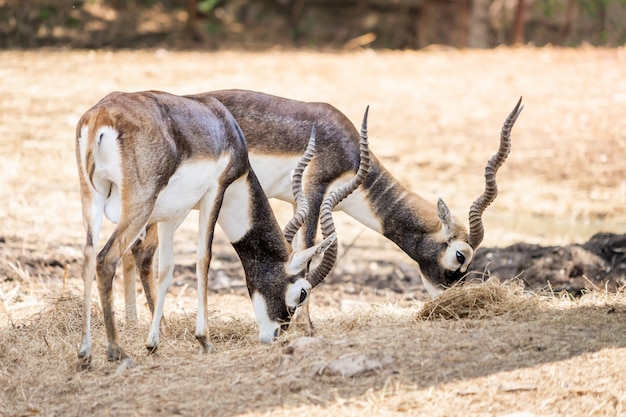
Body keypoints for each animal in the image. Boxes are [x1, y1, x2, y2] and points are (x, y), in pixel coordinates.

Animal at [77, 90, 370, 364]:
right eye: (302, 292)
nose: (276, 334)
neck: (225, 130)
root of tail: (101, 115)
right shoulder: (215, 192)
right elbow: (203, 259)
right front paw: (204, 340)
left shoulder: (172, 215)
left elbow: (166, 270)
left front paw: (154, 344)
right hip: (139, 206)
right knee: (106, 259)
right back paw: (116, 351)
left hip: (92, 198)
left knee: (89, 257)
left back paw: (85, 354)